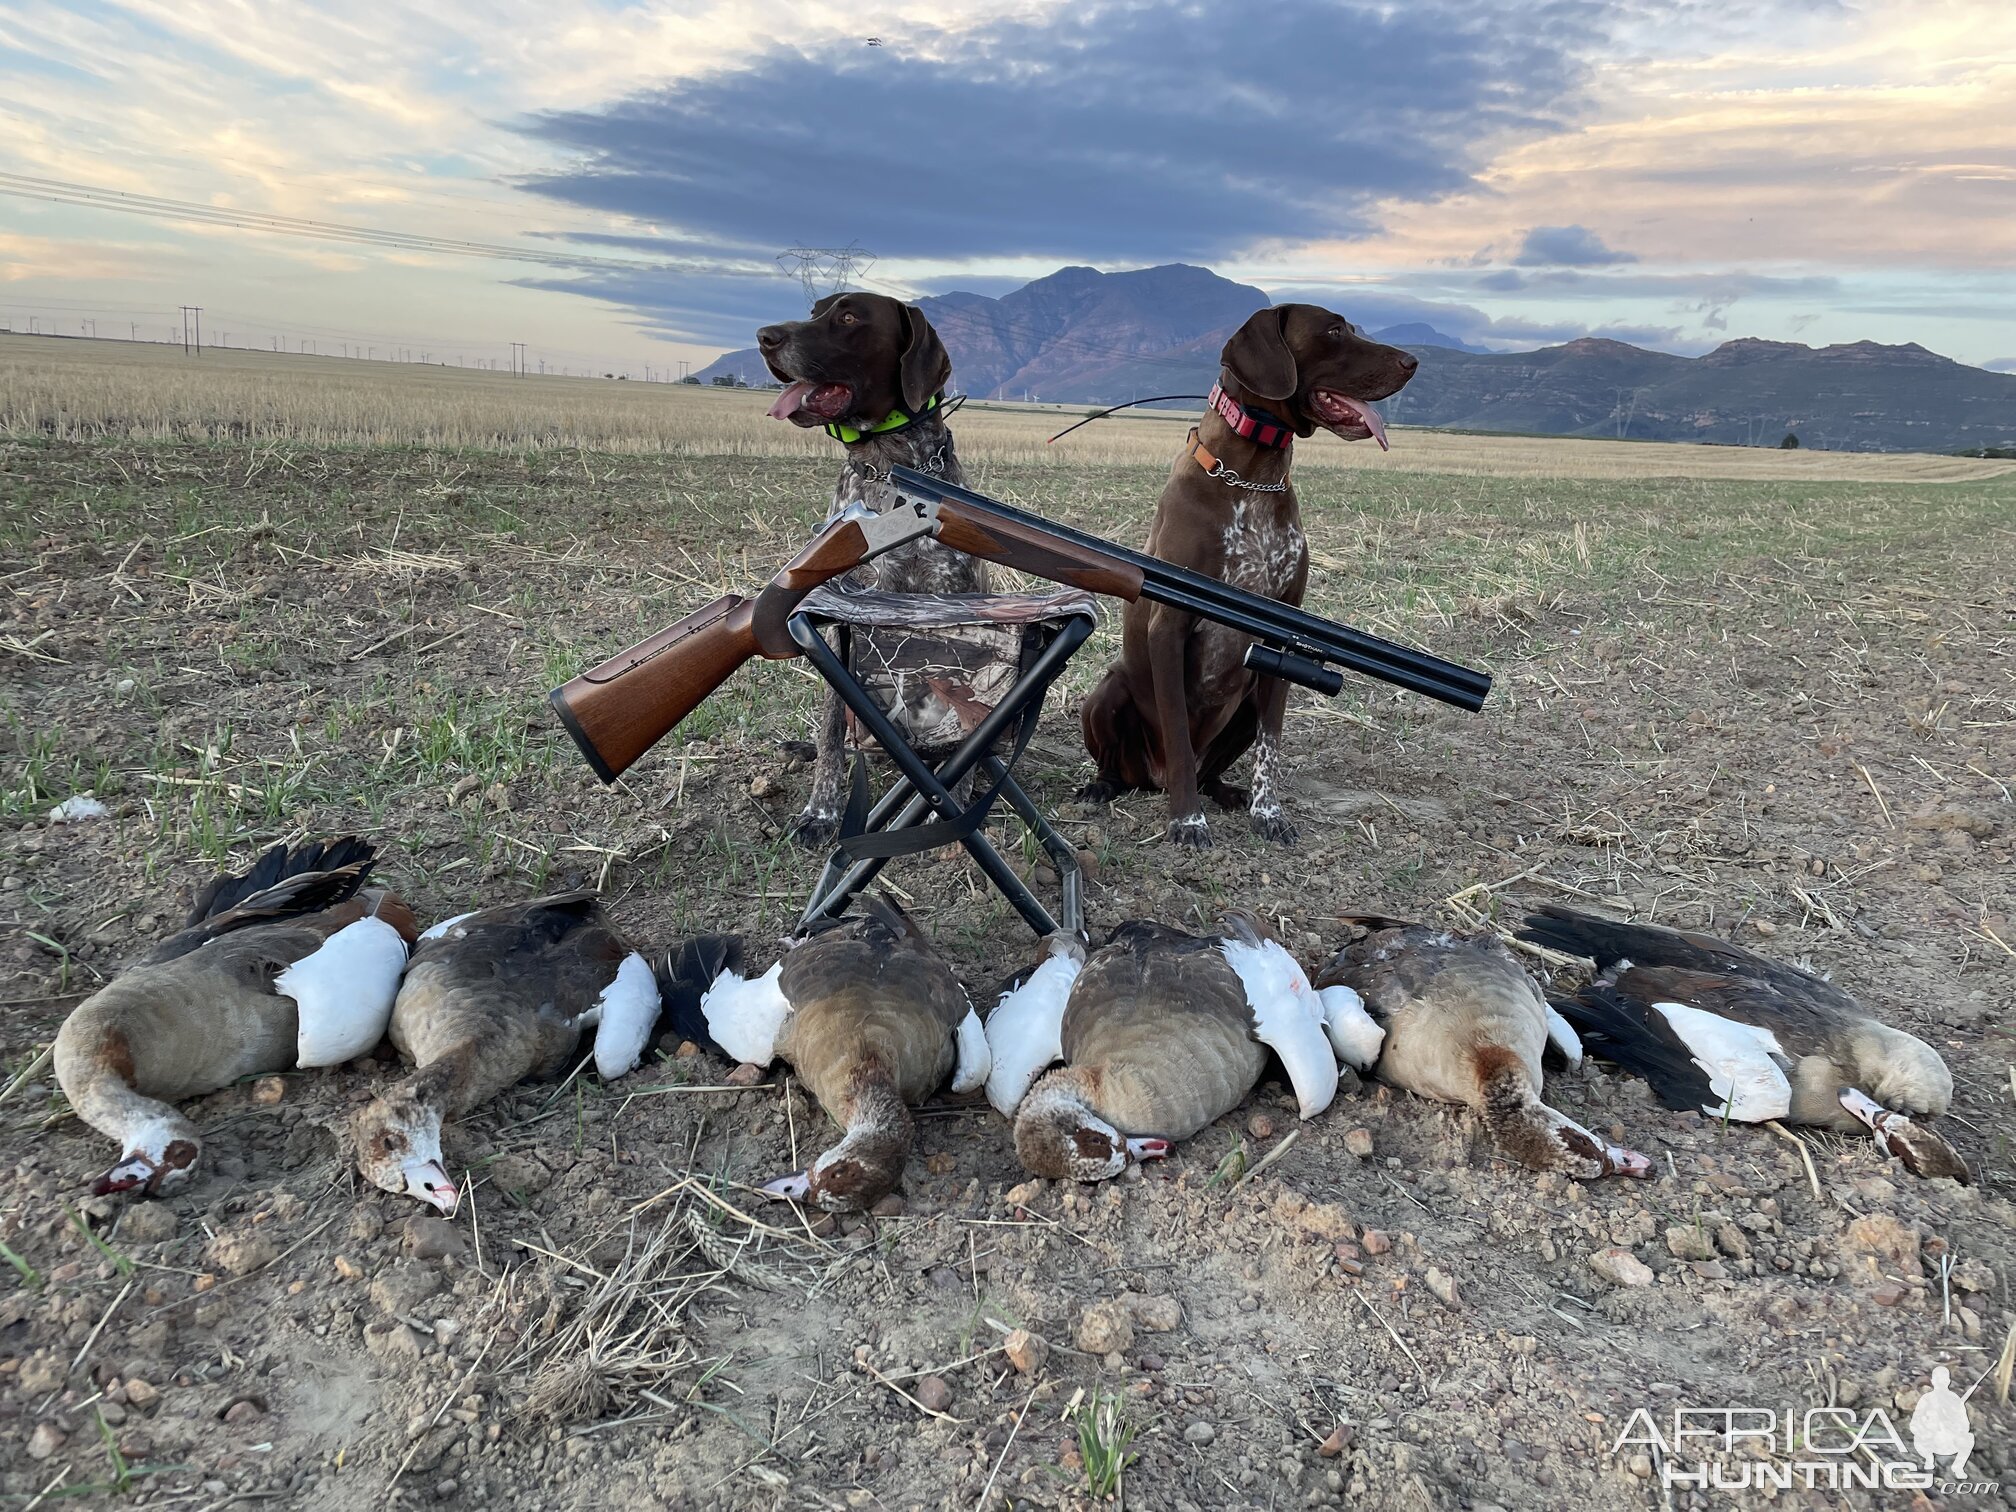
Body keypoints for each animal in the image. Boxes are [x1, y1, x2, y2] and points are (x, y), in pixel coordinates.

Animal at [758, 290, 983, 846]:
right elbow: (831, 727)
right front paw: (821, 811)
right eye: (814, 311)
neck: (885, 468)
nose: (764, 337)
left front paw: (956, 802)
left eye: (848, 316)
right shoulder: (835, 623)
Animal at [1072, 304, 1419, 854]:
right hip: (1108, 694)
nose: (1412, 362)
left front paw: (1267, 812)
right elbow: (1177, 730)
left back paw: (1227, 793)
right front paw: (1187, 822)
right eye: (1334, 330)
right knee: (1132, 765)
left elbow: (1270, 746)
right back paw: (1104, 787)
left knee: (1212, 767)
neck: (1254, 478)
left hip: (1246, 702)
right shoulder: (1168, 627)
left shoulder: (1283, 636)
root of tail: (1151, 778)